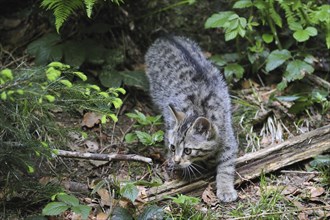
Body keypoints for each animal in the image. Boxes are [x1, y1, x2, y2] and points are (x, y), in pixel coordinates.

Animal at [144, 35, 237, 203]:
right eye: (173, 147)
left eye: (188, 150)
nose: (176, 160)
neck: (198, 110)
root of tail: (165, 37)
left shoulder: (228, 139)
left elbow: (226, 165)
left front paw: (225, 188)